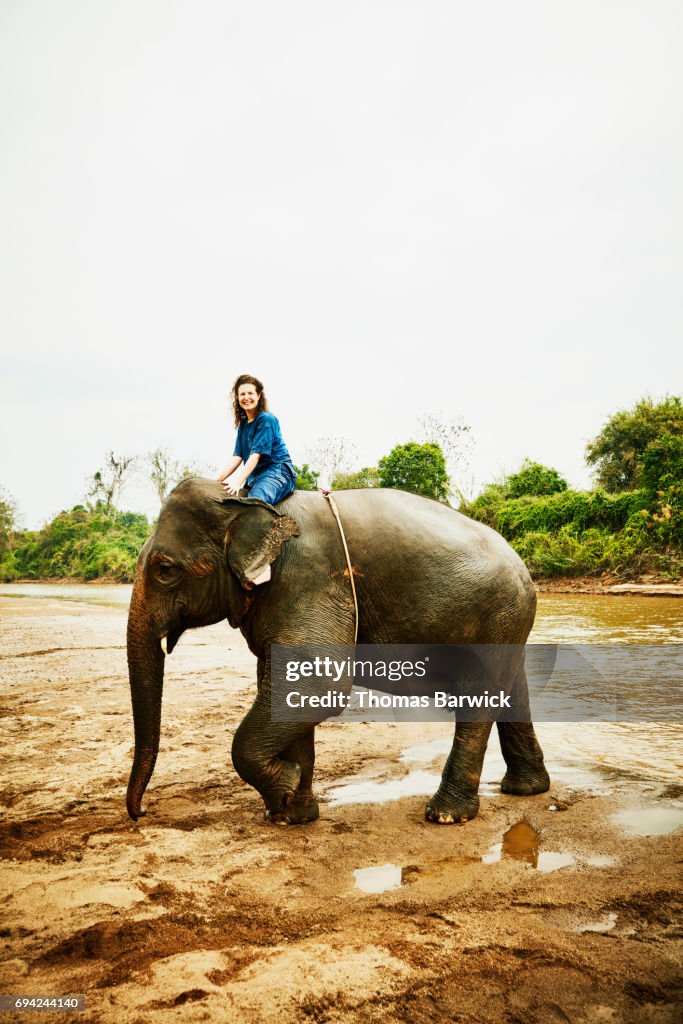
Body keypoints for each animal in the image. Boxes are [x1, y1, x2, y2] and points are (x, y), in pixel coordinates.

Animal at [124, 479, 548, 823]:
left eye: (164, 570)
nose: (143, 811)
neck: (247, 500)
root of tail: (523, 567)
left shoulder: (307, 580)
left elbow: (318, 684)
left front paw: (286, 786)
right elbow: (288, 688)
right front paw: (290, 814)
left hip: (497, 618)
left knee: (480, 699)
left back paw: (445, 815)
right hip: (508, 621)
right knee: (512, 691)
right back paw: (526, 789)